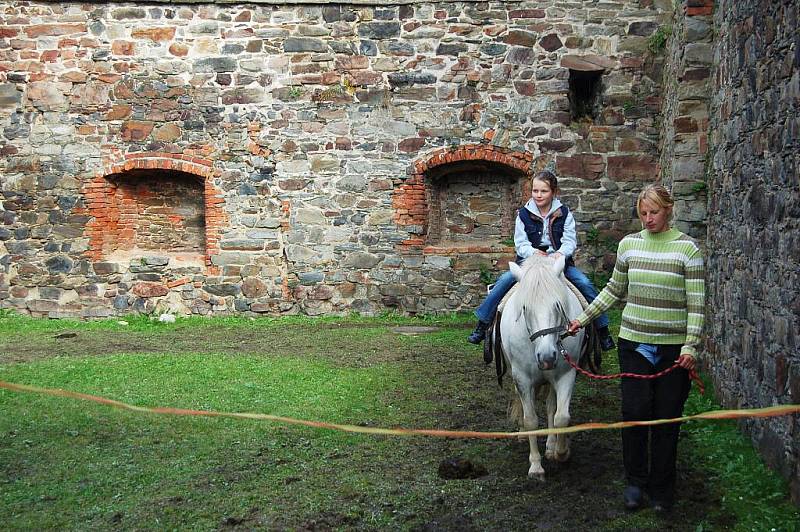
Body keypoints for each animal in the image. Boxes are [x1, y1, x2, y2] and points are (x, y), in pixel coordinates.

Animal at [500, 255, 588, 482]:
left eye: (557, 305)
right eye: (524, 309)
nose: (547, 358)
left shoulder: (566, 374)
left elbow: (561, 416)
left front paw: (561, 452)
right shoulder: (522, 378)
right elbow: (531, 419)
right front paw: (536, 466)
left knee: (551, 406)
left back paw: (550, 445)